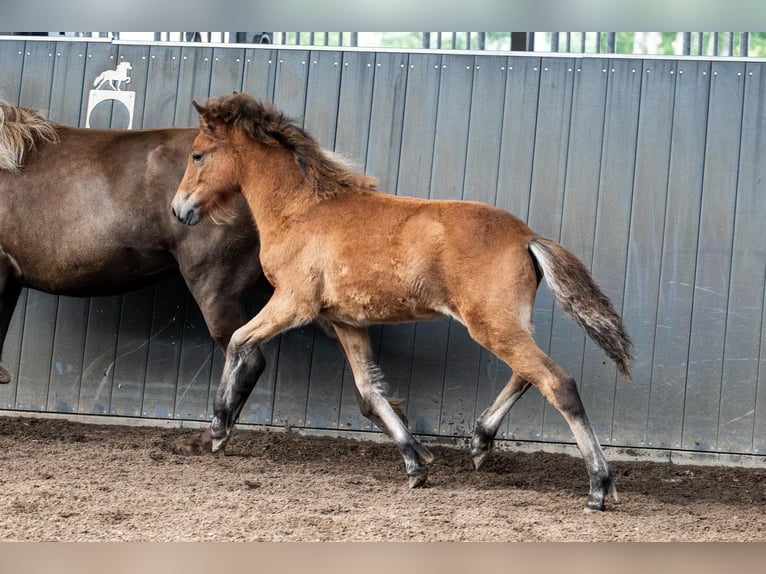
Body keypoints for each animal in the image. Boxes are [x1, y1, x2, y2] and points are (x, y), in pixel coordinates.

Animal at [171, 93, 634, 511]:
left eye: (197, 154)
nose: (178, 210)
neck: (301, 210)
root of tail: (527, 237)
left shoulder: (293, 303)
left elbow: (238, 341)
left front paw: (219, 428)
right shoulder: (346, 322)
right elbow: (368, 393)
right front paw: (416, 463)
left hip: (492, 324)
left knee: (557, 382)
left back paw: (598, 488)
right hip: (508, 323)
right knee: (526, 375)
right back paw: (480, 442)